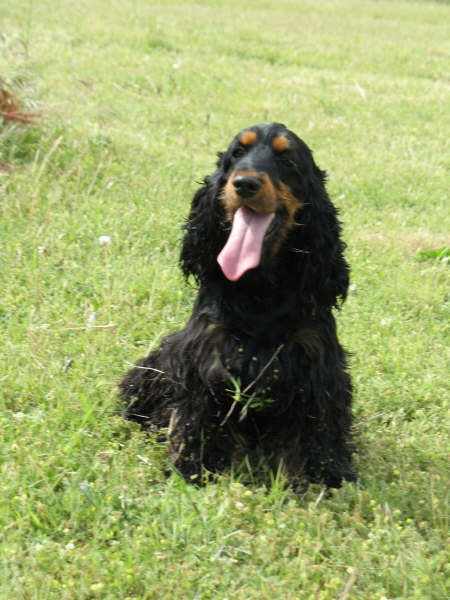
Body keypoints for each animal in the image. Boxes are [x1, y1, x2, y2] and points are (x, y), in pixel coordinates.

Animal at [120, 123, 356, 488]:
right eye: (237, 153)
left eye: (287, 160)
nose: (245, 183)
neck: (260, 288)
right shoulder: (208, 354)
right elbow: (200, 417)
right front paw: (196, 467)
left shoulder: (315, 363)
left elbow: (317, 426)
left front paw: (321, 476)